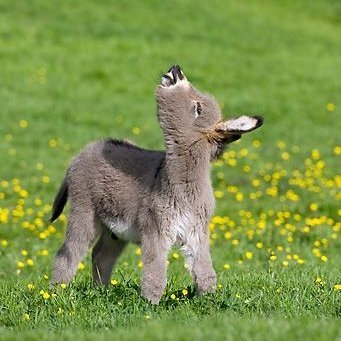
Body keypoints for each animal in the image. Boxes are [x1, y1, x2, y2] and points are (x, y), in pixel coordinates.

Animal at [50, 65, 262, 304]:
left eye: (198, 108)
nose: (176, 69)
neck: (183, 184)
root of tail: (83, 152)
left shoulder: (196, 231)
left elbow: (204, 271)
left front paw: (207, 300)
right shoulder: (156, 230)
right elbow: (156, 271)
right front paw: (151, 304)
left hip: (114, 230)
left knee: (100, 255)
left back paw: (100, 292)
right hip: (84, 210)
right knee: (68, 253)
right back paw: (55, 293)